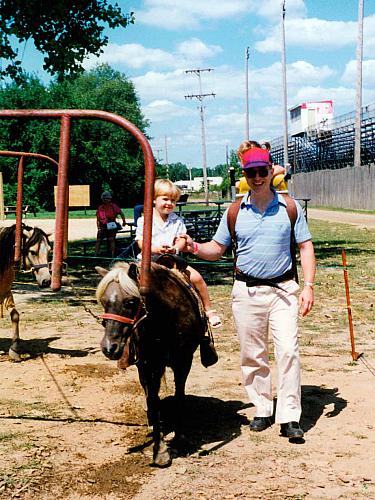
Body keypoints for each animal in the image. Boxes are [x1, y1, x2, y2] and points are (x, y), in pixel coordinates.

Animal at [0, 225, 51, 362]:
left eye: (49, 251)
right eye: (33, 252)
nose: (47, 281)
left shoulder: (5, 292)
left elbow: (15, 315)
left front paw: (14, 350)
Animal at [95, 260, 207, 466]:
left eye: (131, 302)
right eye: (104, 302)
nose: (109, 347)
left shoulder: (183, 361)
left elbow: (179, 395)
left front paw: (180, 437)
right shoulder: (148, 364)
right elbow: (153, 400)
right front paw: (160, 449)